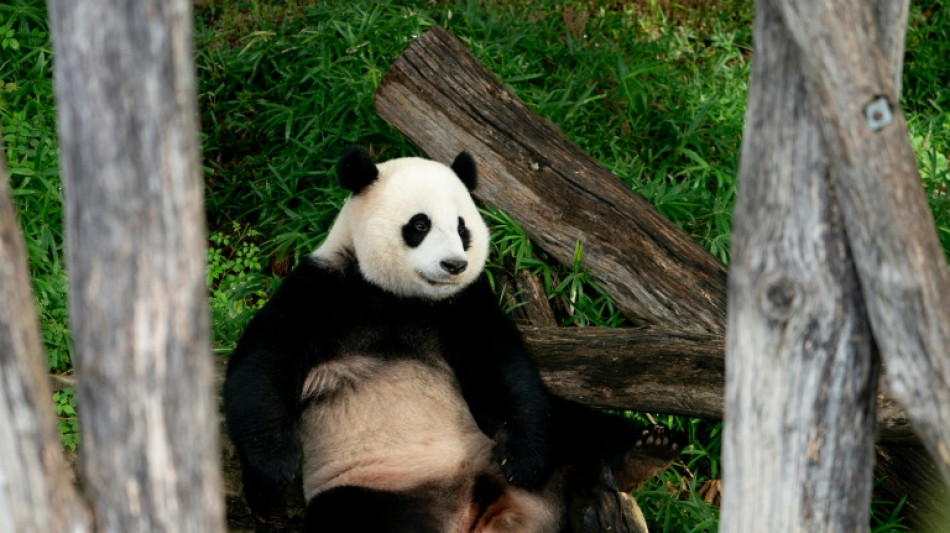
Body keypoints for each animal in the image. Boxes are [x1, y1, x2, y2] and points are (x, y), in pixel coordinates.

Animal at [223, 146, 682, 532]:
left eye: (463, 229)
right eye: (419, 224)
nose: (454, 265)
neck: (400, 298)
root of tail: (481, 515)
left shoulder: (463, 306)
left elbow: (505, 371)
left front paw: (525, 461)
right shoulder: (323, 289)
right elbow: (262, 362)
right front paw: (276, 466)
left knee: (573, 425)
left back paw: (647, 449)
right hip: (372, 489)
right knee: (356, 519)